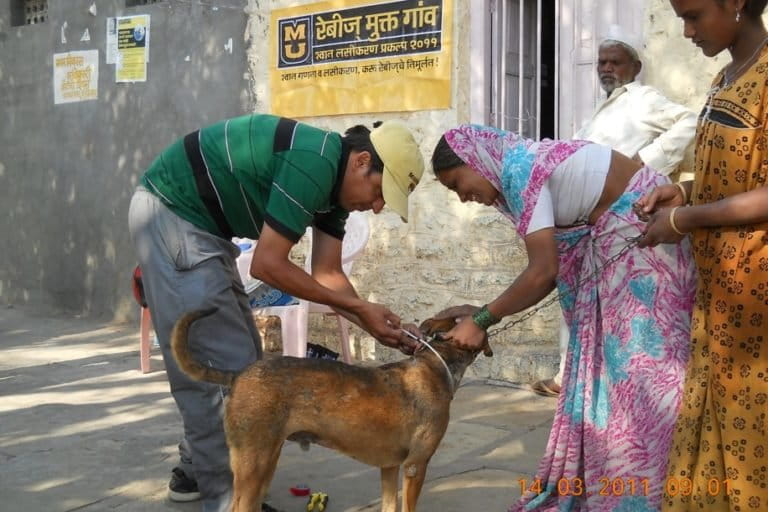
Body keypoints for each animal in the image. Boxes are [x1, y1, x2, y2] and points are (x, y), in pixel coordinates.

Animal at [170, 308, 492, 512]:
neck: (437, 365)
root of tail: (237, 374)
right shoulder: (416, 465)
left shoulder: (389, 467)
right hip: (253, 464)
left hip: (265, 461)